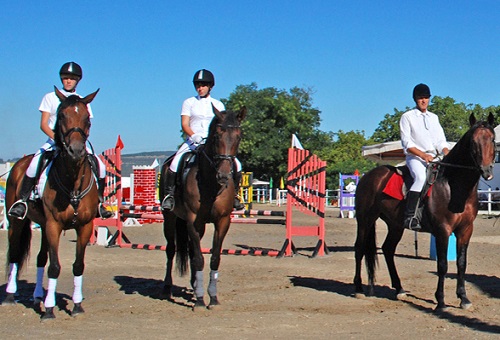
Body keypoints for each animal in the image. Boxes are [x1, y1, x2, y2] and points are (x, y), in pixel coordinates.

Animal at [4, 87, 100, 318]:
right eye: (62, 115)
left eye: (87, 118)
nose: (76, 151)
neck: (72, 182)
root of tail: (19, 163)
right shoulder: (54, 225)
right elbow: (55, 266)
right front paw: (49, 310)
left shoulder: (84, 226)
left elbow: (78, 265)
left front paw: (77, 305)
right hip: (18, 222)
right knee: (14, 254)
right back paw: (10, 296)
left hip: (43, 225)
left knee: (40, 258)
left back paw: (38, 295)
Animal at [160, 106, 246, 310]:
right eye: (216, 136)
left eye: (238, 136)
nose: (223, 176)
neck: (211, 184)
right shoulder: (192, 220)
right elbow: (199, 258)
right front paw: (200, 300)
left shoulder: (222, 221)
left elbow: (214, 258)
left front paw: (212, 297)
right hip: (170, 218)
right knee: (171, 249)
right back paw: (167, 287)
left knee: (192, 251)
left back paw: (194, 286)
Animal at [356, 113, 496, 310]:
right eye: (473, 142)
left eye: (492, 139)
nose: (486, 171)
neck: (453, 186)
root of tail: (368, 176)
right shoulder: (443, 231)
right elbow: (442, 265)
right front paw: (441, 301)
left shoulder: (465, 230)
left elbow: (461, 263)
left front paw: (463, 298)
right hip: (365, 220)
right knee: (359, 248)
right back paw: (358, 288)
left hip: (395, 225)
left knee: (388, 249)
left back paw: (399, 289)